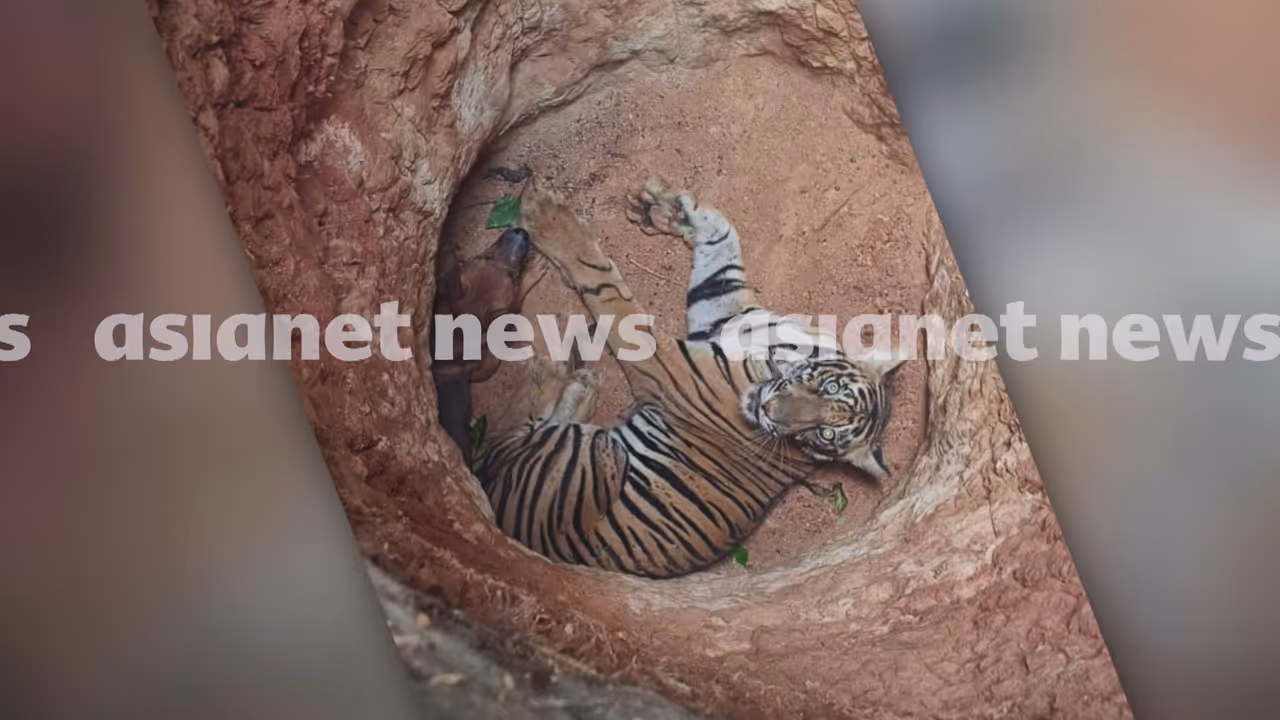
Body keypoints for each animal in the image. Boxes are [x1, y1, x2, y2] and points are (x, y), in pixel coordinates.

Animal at [475, 178, 905, 578]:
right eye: (827, 388)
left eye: (823, 435)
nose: (770, 410)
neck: (773, 356)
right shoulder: (723, 311)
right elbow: (722, 239)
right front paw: (665, 208)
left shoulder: (666, 366)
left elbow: (610, 292)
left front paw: (547, 216)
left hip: (596, 457)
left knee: (503, 441)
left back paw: (556, 378)